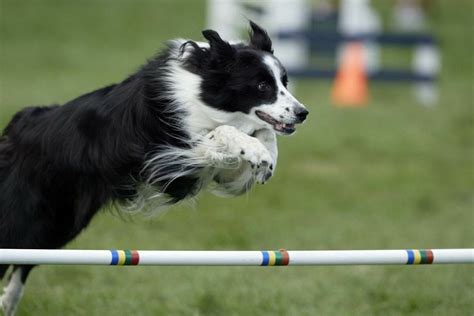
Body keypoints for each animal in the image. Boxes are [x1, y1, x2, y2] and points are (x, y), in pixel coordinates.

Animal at [0, 21, 310, 314]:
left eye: (285, 82)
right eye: (261, 86)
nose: (303, 113)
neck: (203, 92)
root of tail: (17, 127)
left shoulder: (216, 172)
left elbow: (260, 134)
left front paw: (266, 158)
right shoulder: (168, 160)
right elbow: (223, 133)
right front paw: (258, 152)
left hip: (60, 220)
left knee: (25, 259)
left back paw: (9, 301)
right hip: (28, 213)